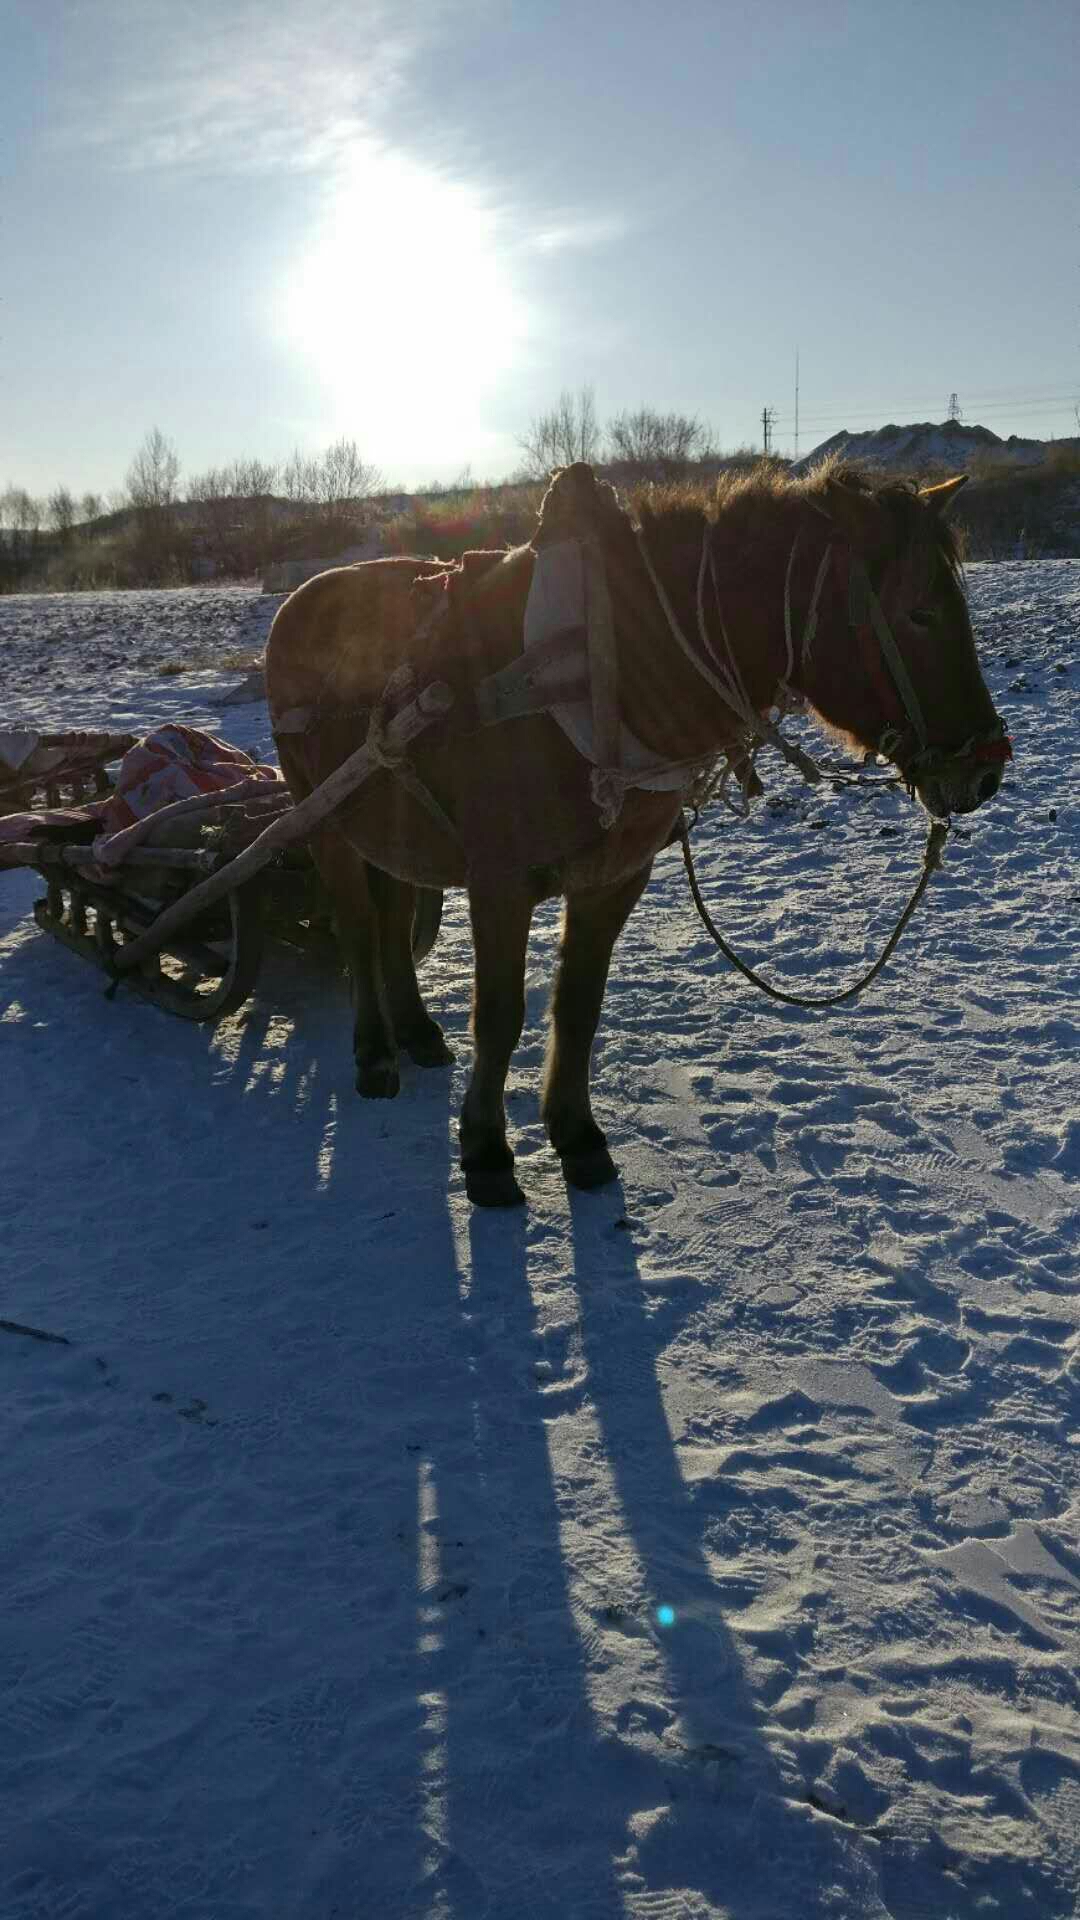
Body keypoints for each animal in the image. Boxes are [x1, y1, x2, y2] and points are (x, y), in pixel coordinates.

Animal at [265, 458, 1006, 1205]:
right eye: (918, 612)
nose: (986, 769)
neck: (598, 668)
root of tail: (301, 597)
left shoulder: (615, 877)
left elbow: (579, 1007)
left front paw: (576, 1134)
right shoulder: (498, 881)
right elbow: (500, 1016)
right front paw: (486, 1152)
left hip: (388, 819)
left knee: (393, 915)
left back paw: (415, 1032)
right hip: (322, 816)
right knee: (360, 926)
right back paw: (375, 1053)